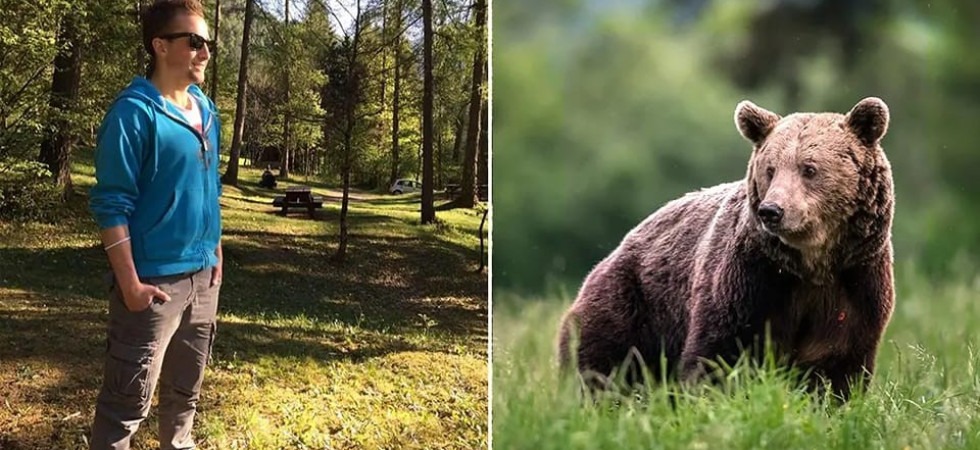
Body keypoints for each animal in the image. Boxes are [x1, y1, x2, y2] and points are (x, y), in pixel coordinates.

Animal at [557, 97, 895, 400]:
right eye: (770, 169)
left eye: (809, 168)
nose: (772, 210)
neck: (810, 265)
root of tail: (612, 253)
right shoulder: (749, 281)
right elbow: (718, 354)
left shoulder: (854, 286)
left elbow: (835, 368)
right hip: (632, 304)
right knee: (604, 365)